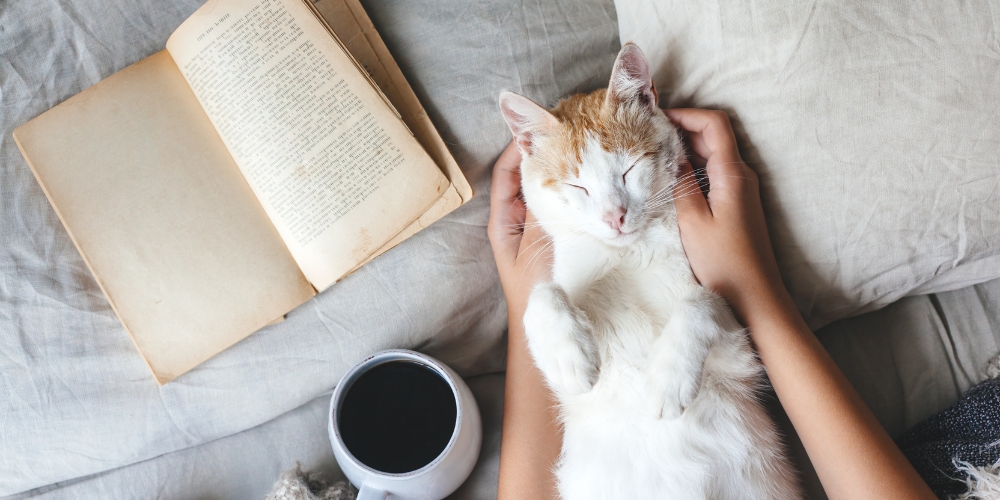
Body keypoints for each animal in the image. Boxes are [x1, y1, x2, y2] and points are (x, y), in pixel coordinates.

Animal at [500, 44, 804, 500]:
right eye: (577, 187)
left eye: (628, 170)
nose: (615, 216)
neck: (632, 255)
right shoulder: (570, 393)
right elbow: (542, 295)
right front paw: (572, 355)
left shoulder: (741, 356)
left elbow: (701, 300)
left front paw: (668, 378)